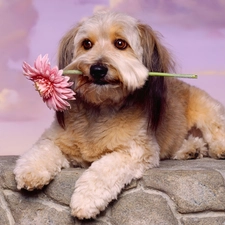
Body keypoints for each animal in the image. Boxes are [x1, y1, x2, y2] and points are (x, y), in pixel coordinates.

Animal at [13, 11, 225, 219]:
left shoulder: (135, 151)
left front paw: (86, 199)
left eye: (121, 43)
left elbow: (103, 170)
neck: (101, 108)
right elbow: (43, 150)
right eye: (86, 44)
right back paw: (190, 149)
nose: (97, 69)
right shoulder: (55, 139)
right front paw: (30, 170)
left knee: (216, 130)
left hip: (207, 108)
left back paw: (216, 148)